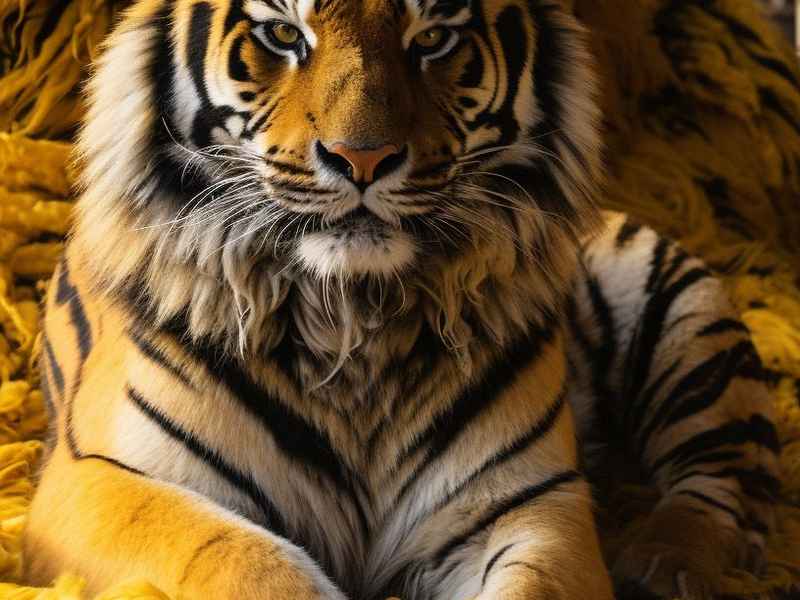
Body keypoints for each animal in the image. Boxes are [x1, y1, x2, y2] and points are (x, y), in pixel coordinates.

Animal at [22, 0, 783, 598]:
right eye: (283, 34)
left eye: (434, 36)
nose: (363, 159)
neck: (349, 319)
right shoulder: (101, 480)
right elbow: (245, 561)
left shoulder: (528, 503)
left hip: (683, 314)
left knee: (717, 482)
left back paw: (661, 564)